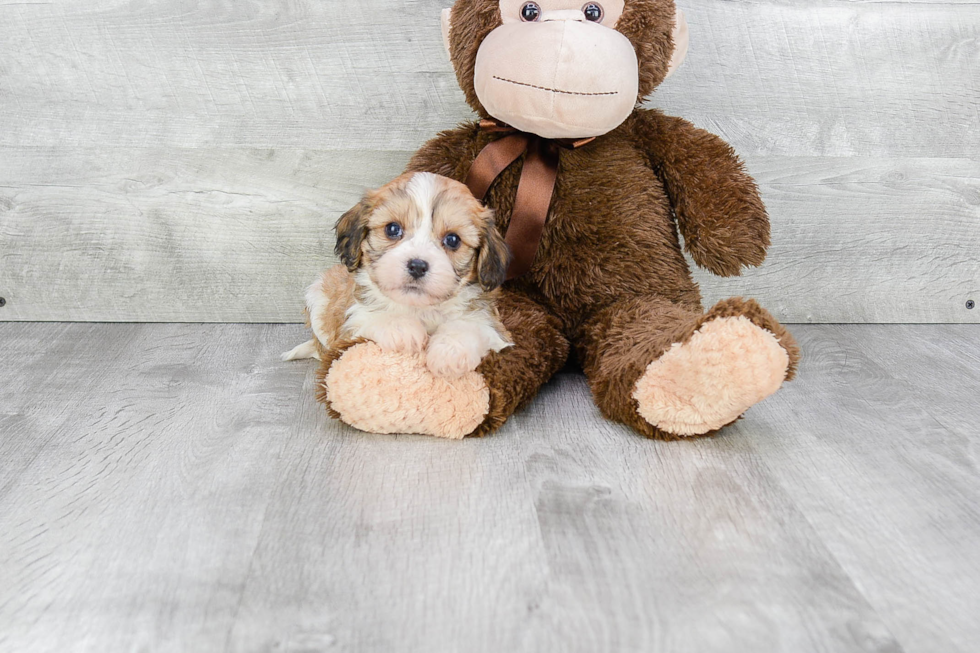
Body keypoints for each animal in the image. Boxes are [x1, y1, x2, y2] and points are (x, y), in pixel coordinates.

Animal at [284, 171, 512, 380]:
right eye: (392, 229)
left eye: (453, 240)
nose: (417, 266)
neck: (420, 309)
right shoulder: (351, 325)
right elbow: (373, 317)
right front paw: (401, 328)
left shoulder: (494, 328)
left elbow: (473, 327)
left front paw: (450, 352)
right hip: (317, 297)